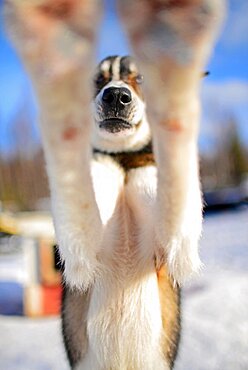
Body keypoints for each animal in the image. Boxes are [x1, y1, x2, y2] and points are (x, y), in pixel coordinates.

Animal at [4, 1, 224, 368]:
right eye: (98, 80)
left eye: (141, 78)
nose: (117, 96)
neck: (122, 162)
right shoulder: (82, 255)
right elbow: (71, 173)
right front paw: (56, 65)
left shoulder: (174, 246)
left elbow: (176, 174)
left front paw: (173, 67)